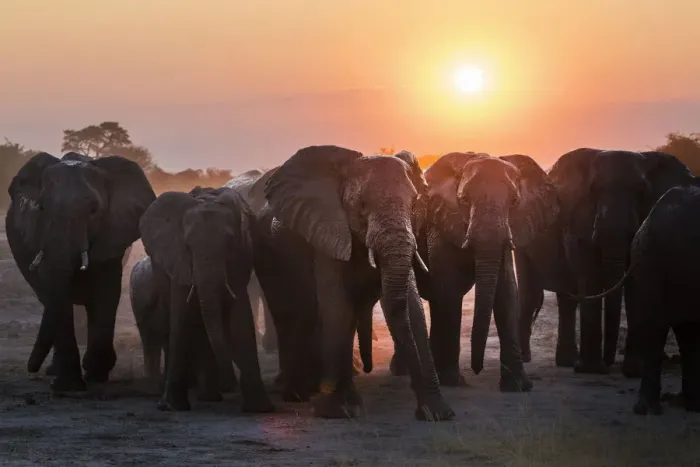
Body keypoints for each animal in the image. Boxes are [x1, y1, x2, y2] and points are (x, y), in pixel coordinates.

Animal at [5, 152, 155, 391]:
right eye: (41, 208)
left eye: (93, 211)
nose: (31, 368)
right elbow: (56, 291)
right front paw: (68, 386)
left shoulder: (111, 234)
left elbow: (106, 291)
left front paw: (95, 373)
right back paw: (55, 371)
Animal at [139, 186, 274, 413]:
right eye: (187, 245)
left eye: (229, 242)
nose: (229, 385)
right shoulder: (180, 262)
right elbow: (181, 319)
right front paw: (173, 406)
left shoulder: (241, 256)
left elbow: (240, 319)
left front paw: (259, 409)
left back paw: (210, 396)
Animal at [256, 145, 454, 421]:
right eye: (361, 206)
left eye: (414, 203)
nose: (421, 412)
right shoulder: (327, 232)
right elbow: (337, 306)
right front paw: (338, 412)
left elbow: (412, 308)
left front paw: (437, 413)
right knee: (292, 316)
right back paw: (297, 394)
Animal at [394, 152, 557, 391]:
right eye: (463, 201)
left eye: (514, 202)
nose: (477, 369)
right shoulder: (440, 226)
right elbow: (449, 292)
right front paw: (453, 382)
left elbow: (507, 293)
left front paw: (518, 386)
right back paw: (403, 371)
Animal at [528, 148, 694, 375]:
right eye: (593, 191)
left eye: (642, 192)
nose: (609, 363)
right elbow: (590, 276)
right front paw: (591, 370)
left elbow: (635, 284)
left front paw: (634, 371)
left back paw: (569, 362)